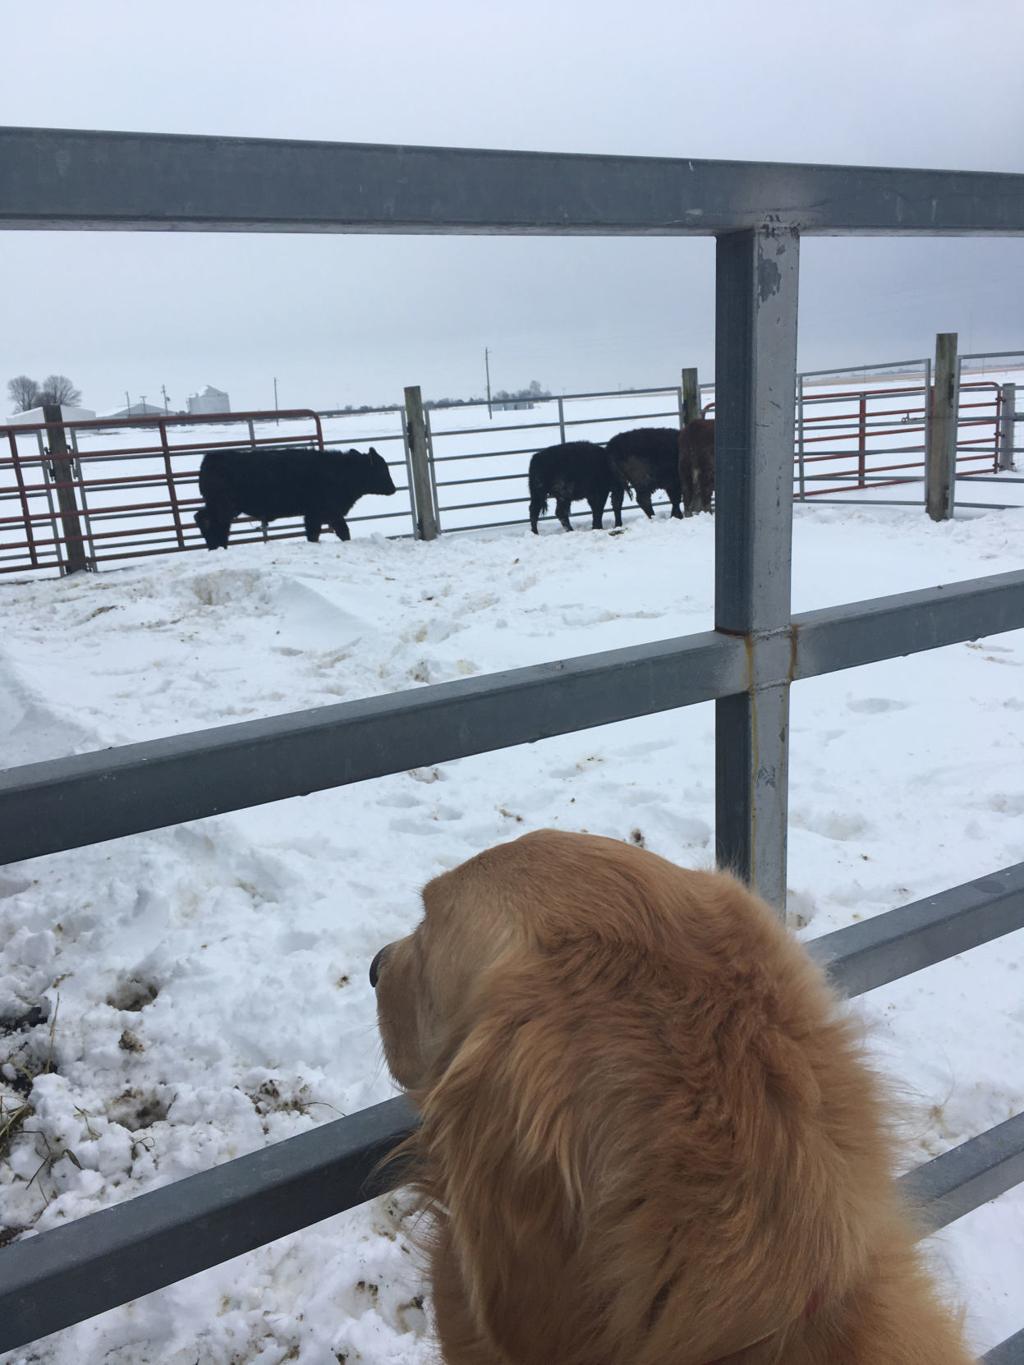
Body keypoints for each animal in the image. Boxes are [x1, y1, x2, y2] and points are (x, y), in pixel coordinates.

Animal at [193, 442, 395, 548]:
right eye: (383, 470)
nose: (393, 489)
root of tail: (210, 459)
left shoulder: (323, 514)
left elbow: (330, 532)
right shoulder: (321, 512)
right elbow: (330, 532)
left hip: (222, 507)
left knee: (204, 518)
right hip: (223, 507)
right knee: (211, 522)